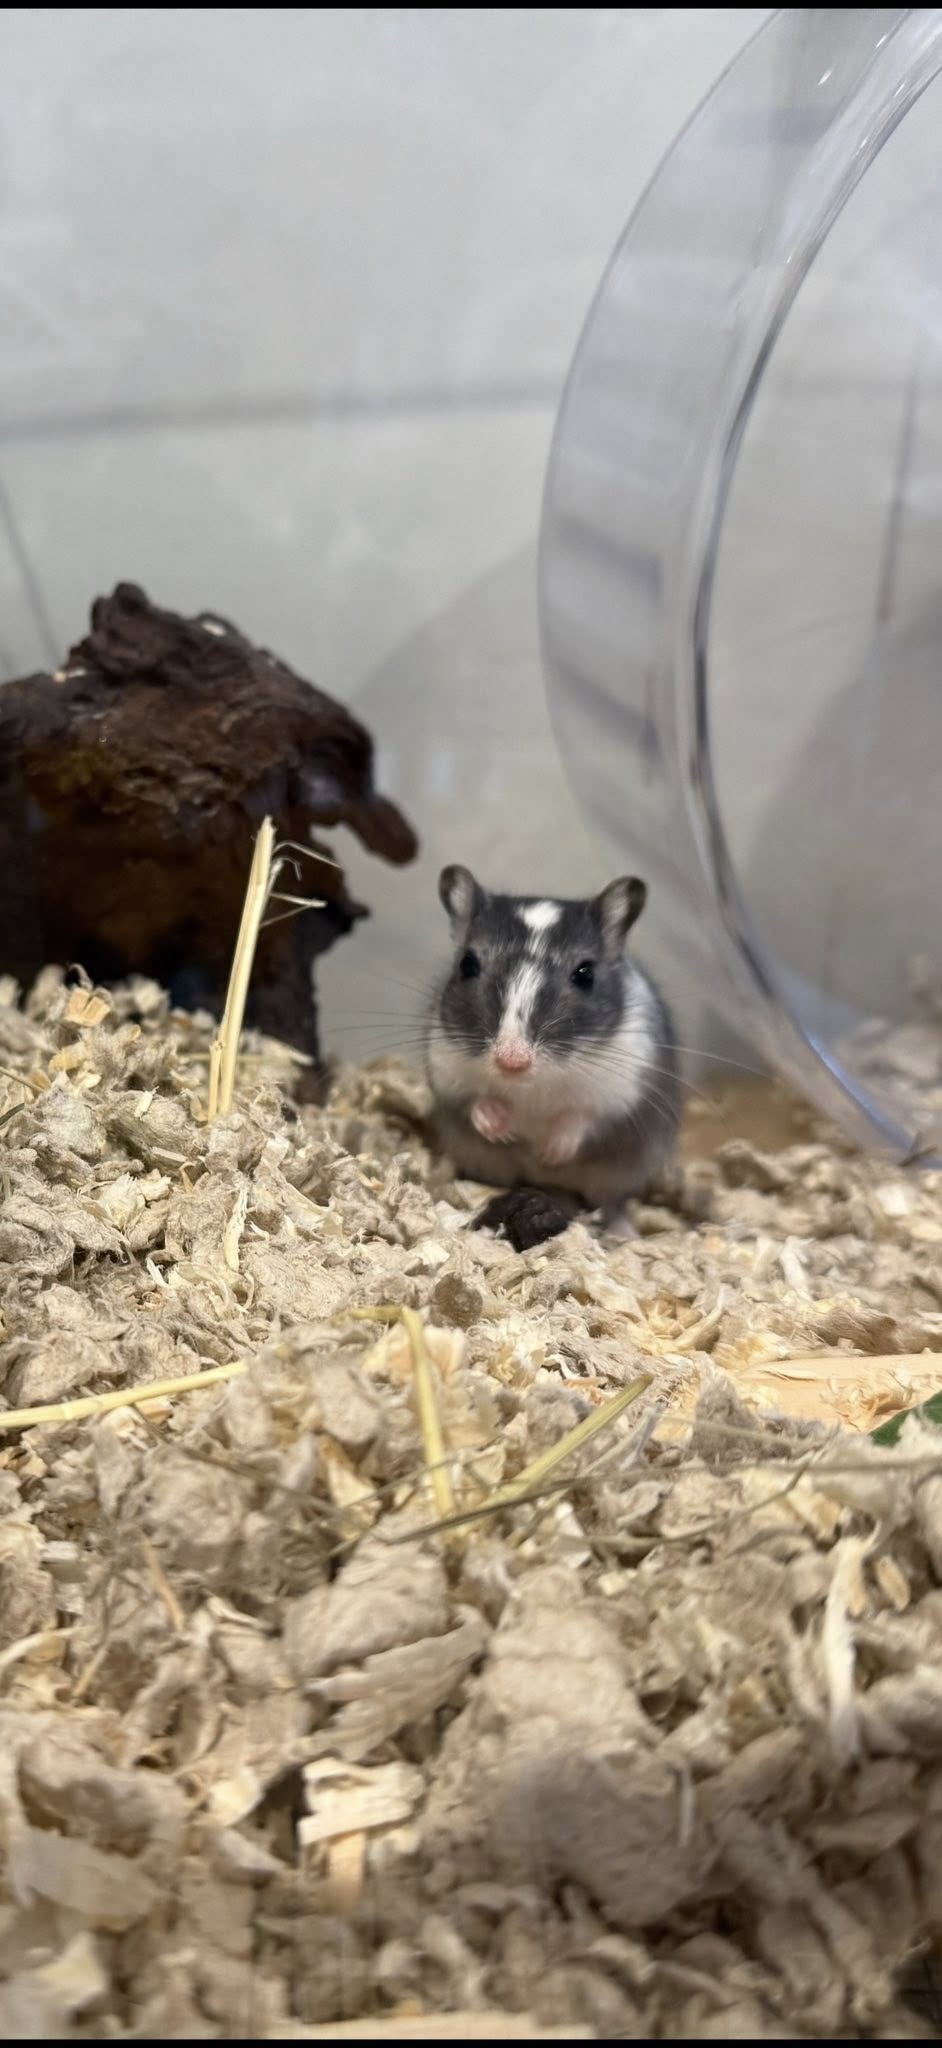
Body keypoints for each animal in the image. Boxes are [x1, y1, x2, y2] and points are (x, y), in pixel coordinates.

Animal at [425, 863, 681, 1229]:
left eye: (585, 974)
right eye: (467, 965)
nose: (512, 1062)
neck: (531, 1084)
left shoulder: (619, 1093)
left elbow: (580, 1117)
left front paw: (550, 1153)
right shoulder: (447, 1072)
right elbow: (475, 1102)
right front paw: (501, 1131)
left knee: (610, 1204)